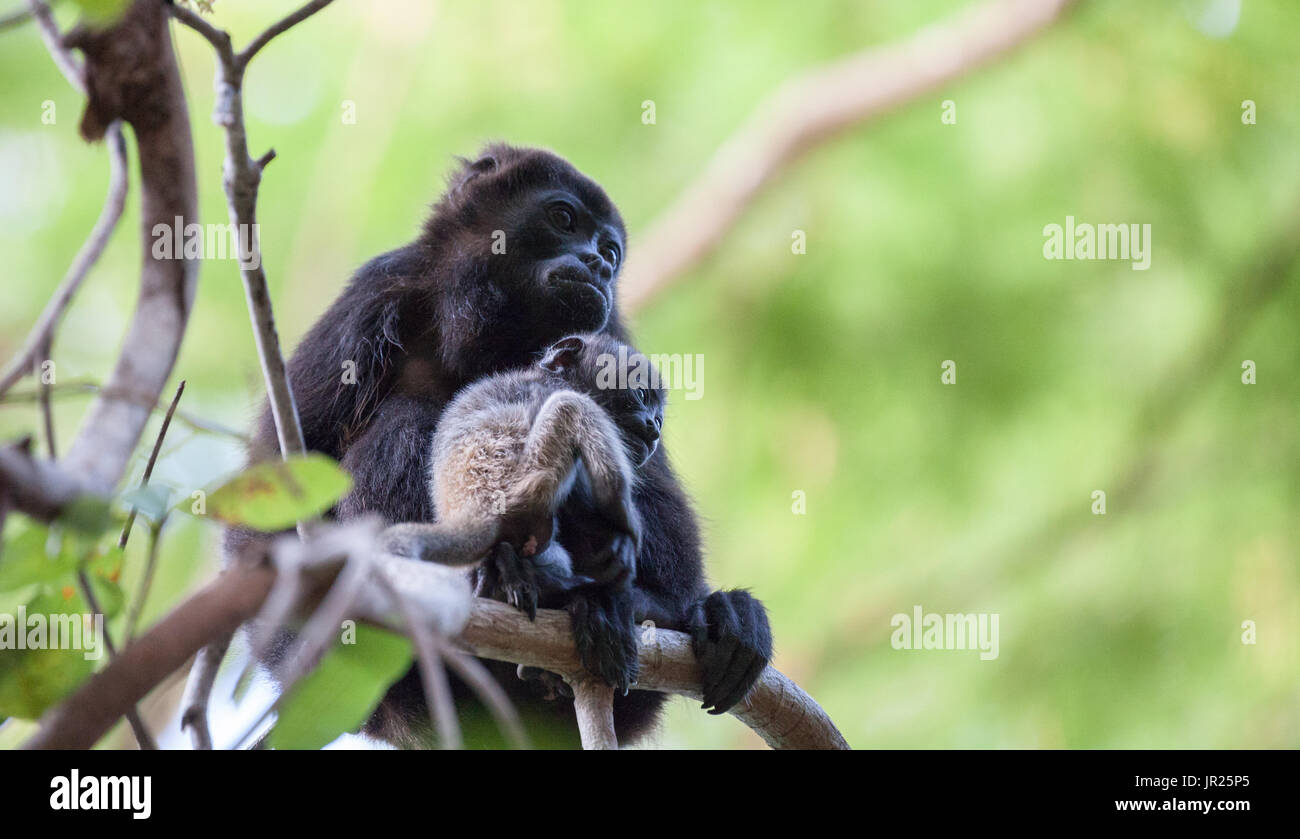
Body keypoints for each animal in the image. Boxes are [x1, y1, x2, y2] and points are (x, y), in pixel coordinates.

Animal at [232, 145, 769, 744]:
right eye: (564, 219)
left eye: (611, 251)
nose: (599, 264)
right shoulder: (376, 292)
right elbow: (268, 508)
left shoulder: (612, 332)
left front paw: (690, 607)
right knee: (407, 421)